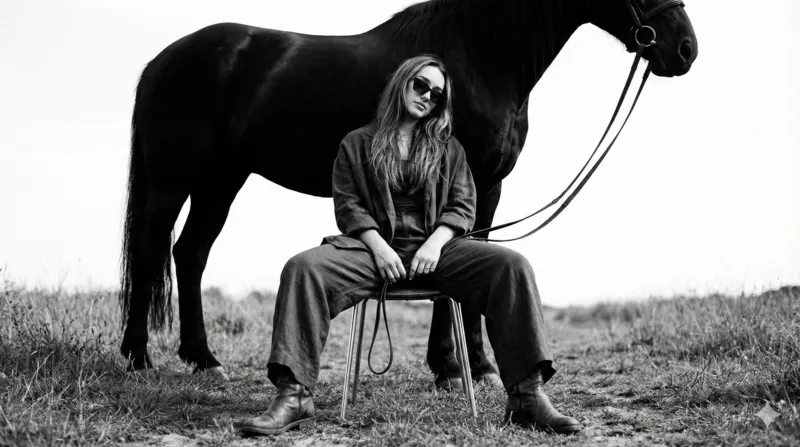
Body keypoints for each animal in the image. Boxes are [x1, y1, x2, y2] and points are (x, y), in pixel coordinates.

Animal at [119, 0, 698, 383]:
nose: (686, 48)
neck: (481, 55)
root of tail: (160, 62)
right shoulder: (473, 181)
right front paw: (467, 368)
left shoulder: (484, 187)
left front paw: (457, 366)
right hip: (175, 182)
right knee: (151, 252)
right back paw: (138, 358)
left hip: (220, 182)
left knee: (189, 253)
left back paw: (202, 359)